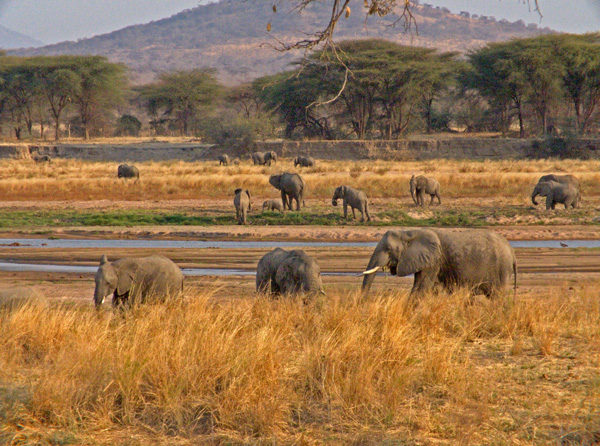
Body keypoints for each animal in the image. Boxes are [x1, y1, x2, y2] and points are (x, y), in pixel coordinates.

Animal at [360, 230, 516, 300]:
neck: (409, 232)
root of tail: (511, 250)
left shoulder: (433, 261)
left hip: (501, 269)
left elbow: (421, 287)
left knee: (497, 296)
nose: (363, 303)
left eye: (388, 249)